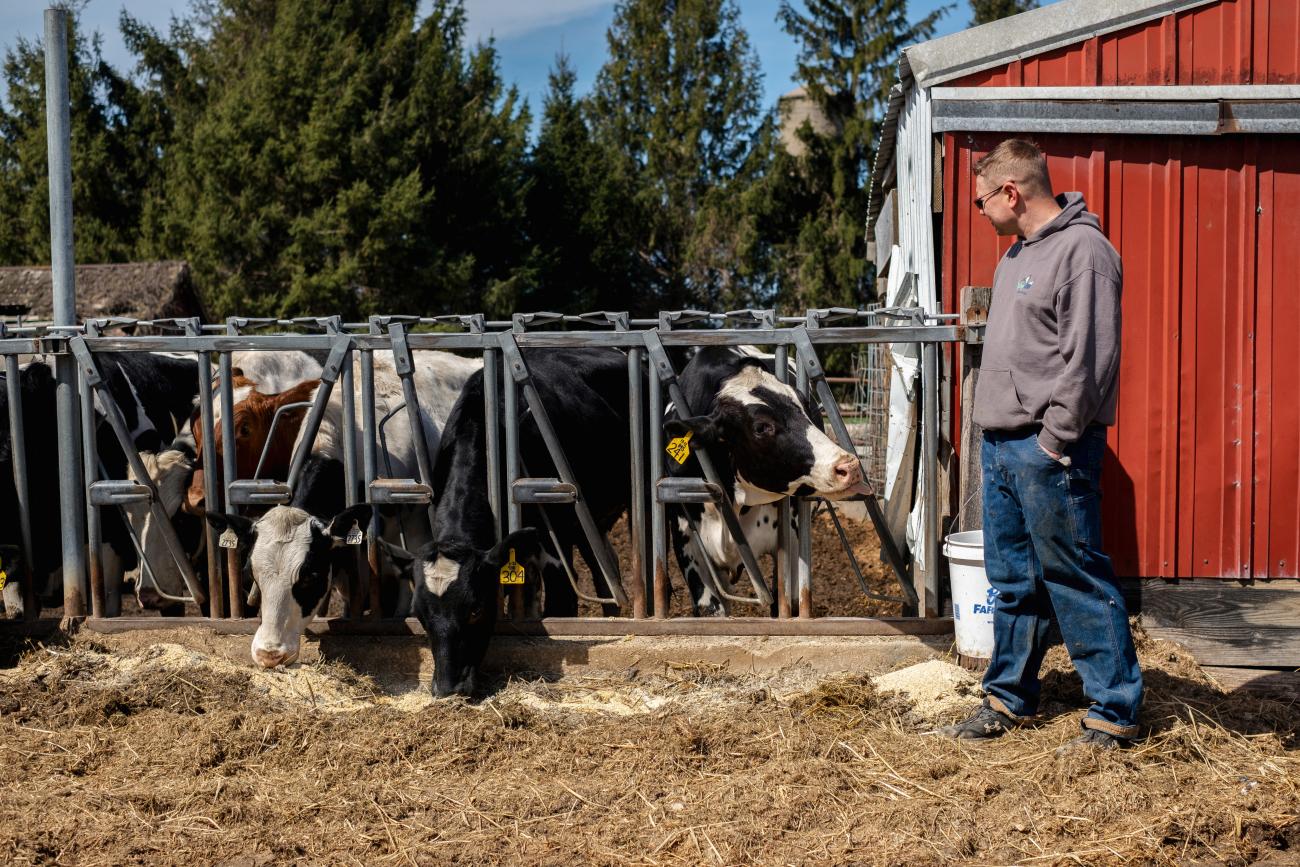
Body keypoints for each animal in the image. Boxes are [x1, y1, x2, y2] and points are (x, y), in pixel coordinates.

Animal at [379, 348, 634, 696]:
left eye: (475, 608)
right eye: (420, 615)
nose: (447, 687)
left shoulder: (554, 539)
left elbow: (561, 603)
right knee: (606, 571)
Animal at [665, 345, 868, 616]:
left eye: (805, 409)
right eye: (761, 427)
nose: (849, 466)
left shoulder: (791, 544)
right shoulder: (687, 543)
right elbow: (712, 608)